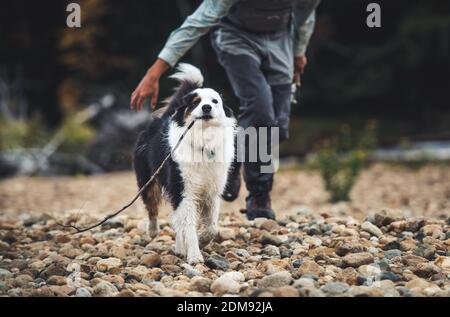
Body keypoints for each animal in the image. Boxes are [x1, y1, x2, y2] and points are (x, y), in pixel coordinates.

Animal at [134, 63, 237, 262]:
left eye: (215, 101)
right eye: (195, 102)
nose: (206, 107)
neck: (204, 141)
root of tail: (163, 118)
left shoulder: (212, 191)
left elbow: (212, 227)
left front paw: (203, 239)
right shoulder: (183, 191)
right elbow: (189, 226)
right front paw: (195, 255)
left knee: (176, 219)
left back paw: (179, 248)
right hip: (149, 181)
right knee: (153, 208)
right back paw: (154, 231)